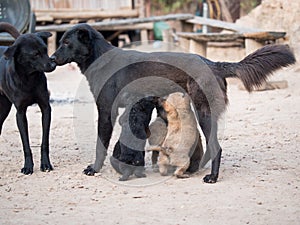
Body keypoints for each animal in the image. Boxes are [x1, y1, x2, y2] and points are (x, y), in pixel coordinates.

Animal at [0, 22, 56, 174]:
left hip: (4, 108)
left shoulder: (45, 108)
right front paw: (28, 166)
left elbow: (44, 142)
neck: (29, 79)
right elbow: (26, 143)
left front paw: (46, 164)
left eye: (45, 50)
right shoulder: (20, 113)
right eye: (35, 54)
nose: (53, 64)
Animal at [51, 23, 296, 184]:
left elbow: (100, 145)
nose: (52, 59)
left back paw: (212, 177)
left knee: (216, 146)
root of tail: (213, 63)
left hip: (204, 113)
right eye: (60, 42)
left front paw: (94, 169)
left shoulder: (105, 111)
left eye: (66, 43)